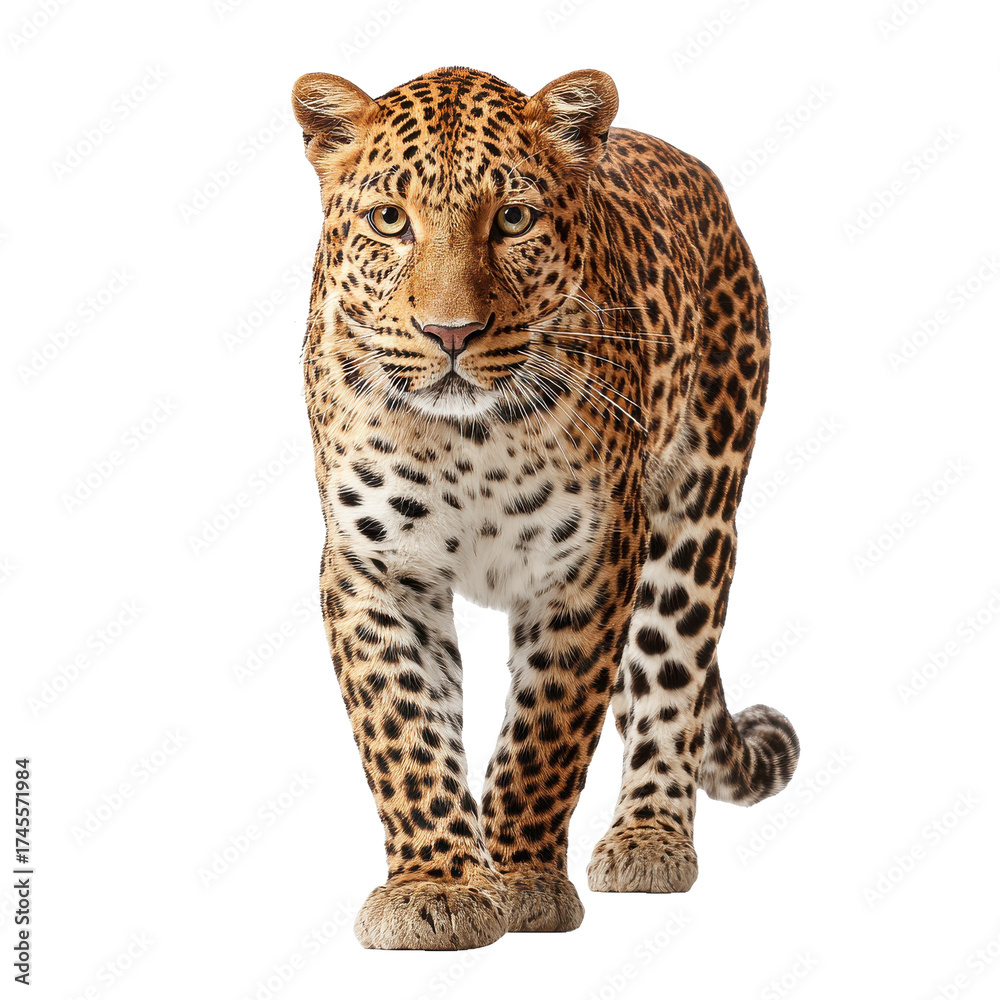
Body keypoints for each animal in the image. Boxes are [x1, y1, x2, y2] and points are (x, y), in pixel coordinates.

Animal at [291, 64, 800, 951]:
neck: (467, 440)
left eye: (514, 218)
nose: (450, 333)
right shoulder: (373, 567)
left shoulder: (592, 563)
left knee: (670, 677)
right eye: (391, 220)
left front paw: (522, 879)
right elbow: (405, 729)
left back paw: (648, 839)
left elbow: (547, 732)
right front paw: (437, 887)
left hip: (698, 511)